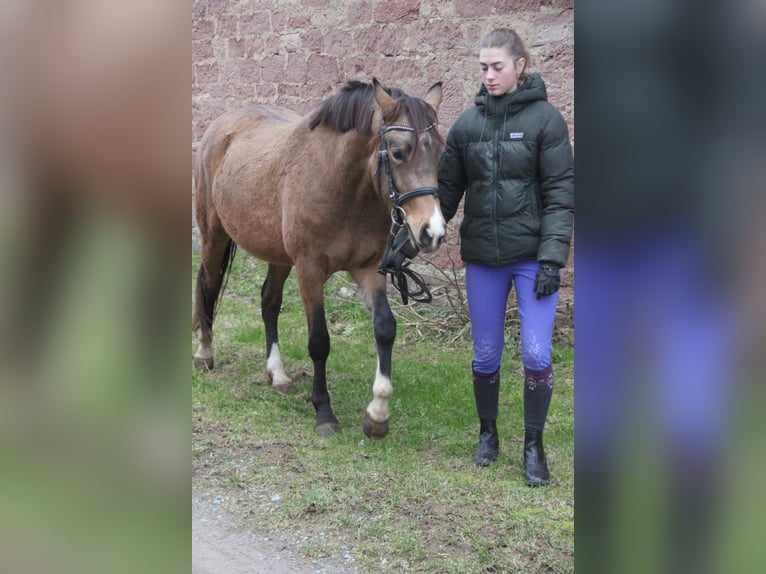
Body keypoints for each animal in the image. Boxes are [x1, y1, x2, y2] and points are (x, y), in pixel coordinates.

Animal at [194, 79, 450, 438]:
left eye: (440, 152)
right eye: (399, 152)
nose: (432, 232)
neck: (341, 185)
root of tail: (220, 125)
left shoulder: (368, 269)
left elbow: (385, 328)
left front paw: (378, 414)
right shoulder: (310, 271)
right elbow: (319, 341)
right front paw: (324, 412)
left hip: (278, 255)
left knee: (269, 301)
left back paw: (278, 373)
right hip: (213, 235)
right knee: (207, 284)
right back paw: (204, 352)